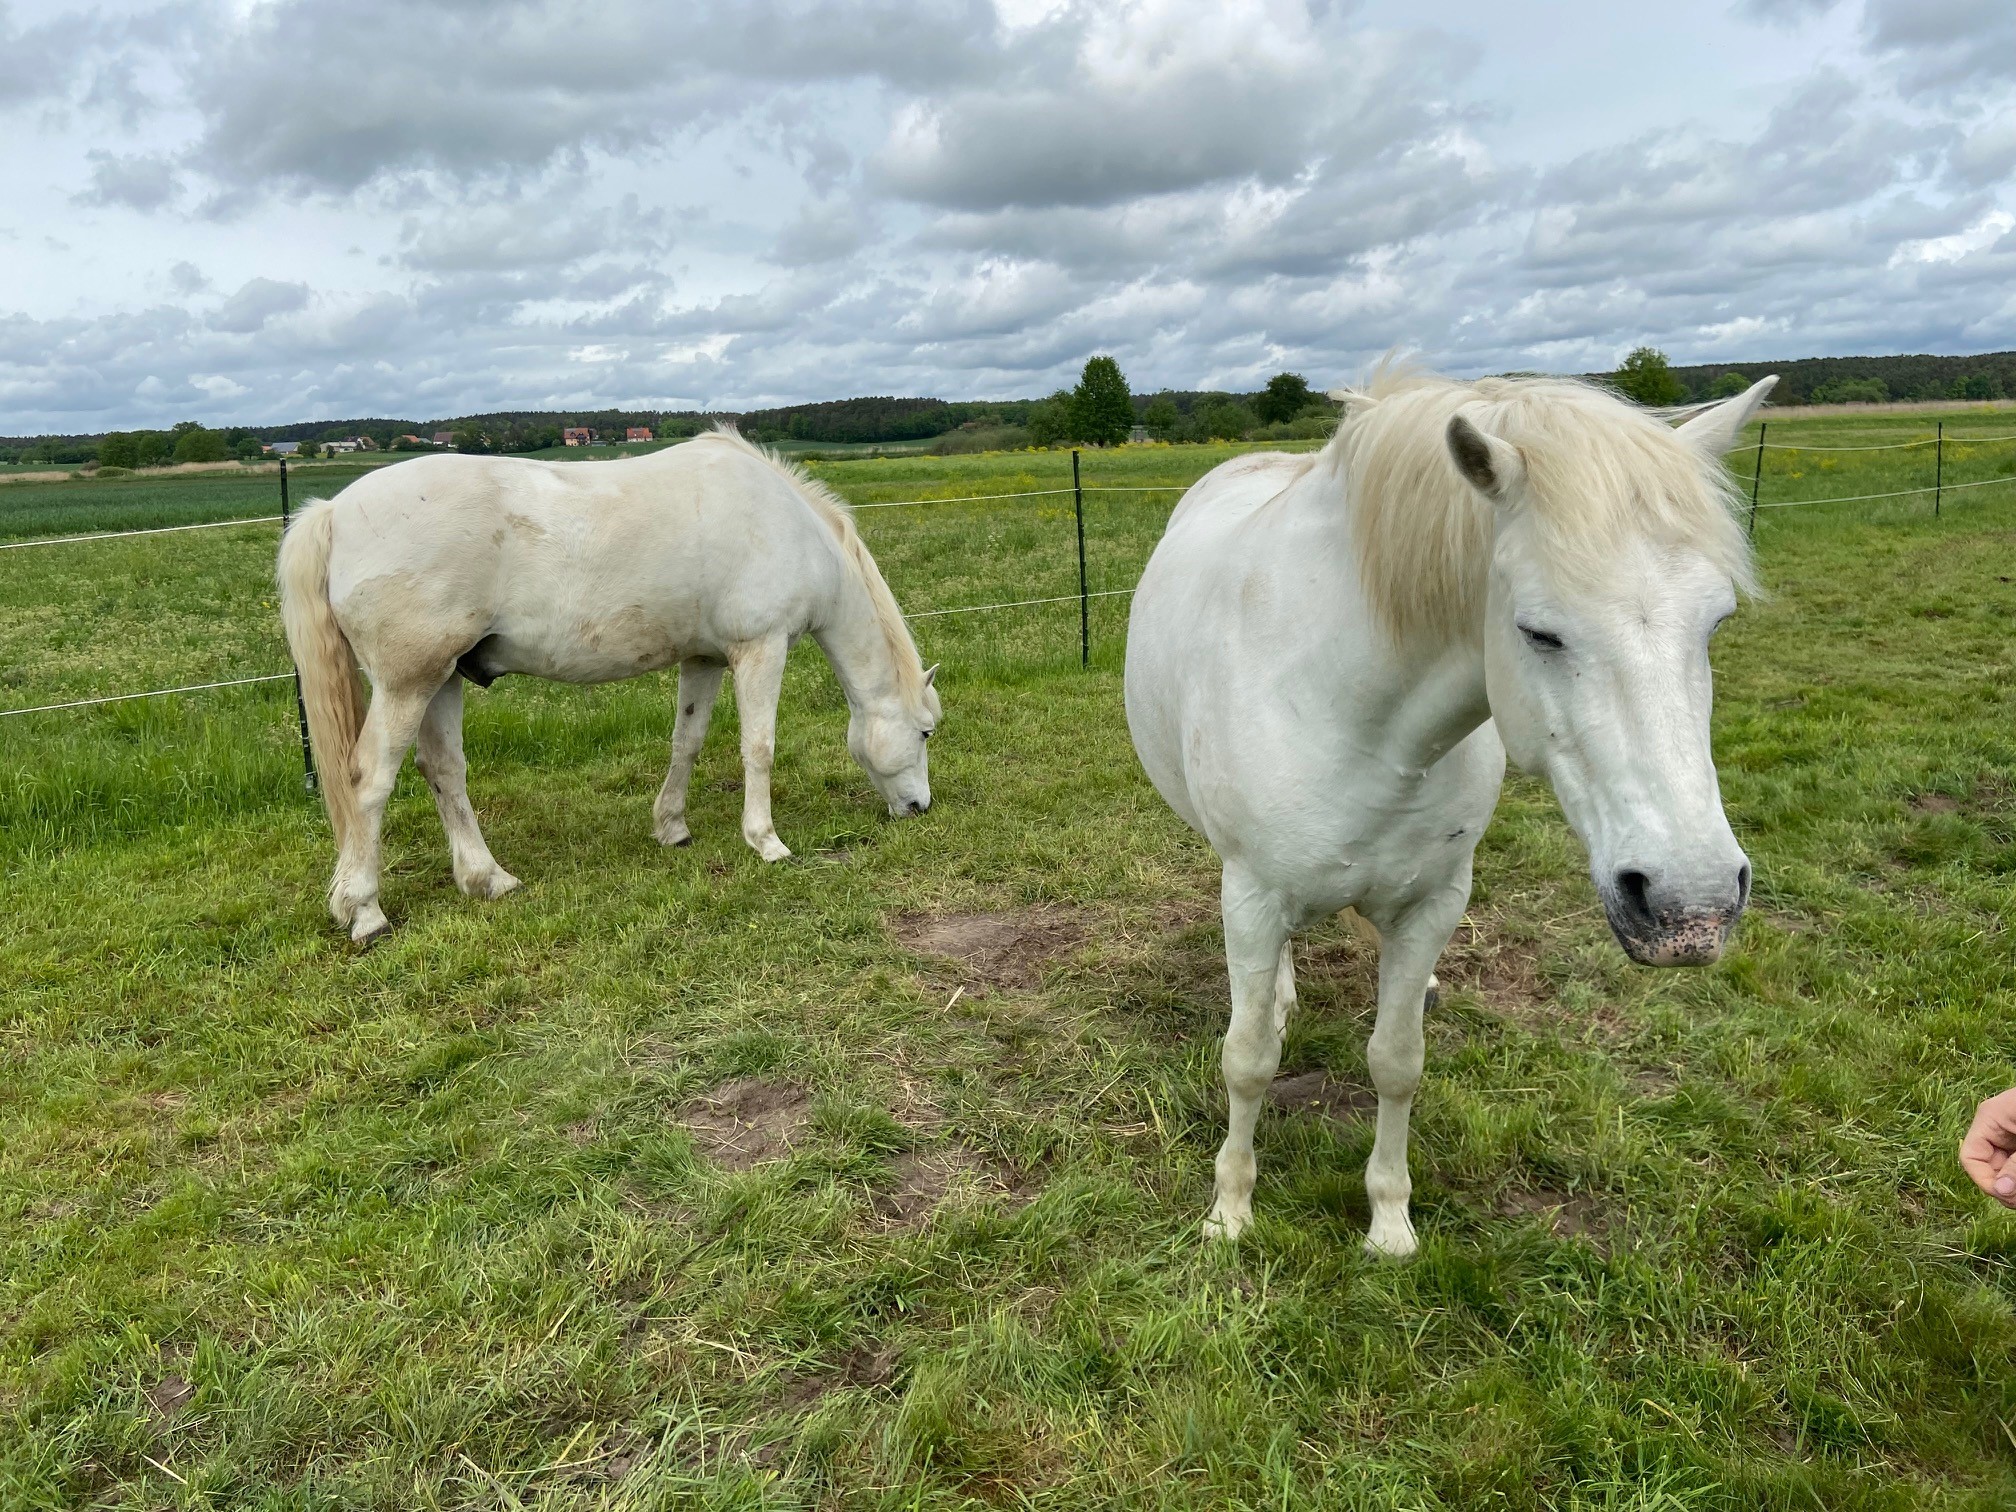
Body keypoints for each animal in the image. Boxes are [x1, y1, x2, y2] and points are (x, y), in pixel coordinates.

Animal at [280, 431, 939, 943]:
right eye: (927, 732)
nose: (920, 808)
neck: (786, 524)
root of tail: (335, 511)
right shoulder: (761, 648)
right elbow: (759, 748)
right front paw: (766, 842)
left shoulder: (703, 658)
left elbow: (687, 742)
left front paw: (672, 827)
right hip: (406, 684)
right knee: (369, 780)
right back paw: (365, 912)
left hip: (441, 680)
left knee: (444, 771)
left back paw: (488, 879)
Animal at [1137, 370, 1782, 1266]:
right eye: (1538, 631)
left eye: (1716, 621)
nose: (1694, 908)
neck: (1349, 703)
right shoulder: (1255, 894)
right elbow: (1249, 1060)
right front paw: (1230, 1211)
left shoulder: (1434, 902)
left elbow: (1397, 1061)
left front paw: (1389, 1222)